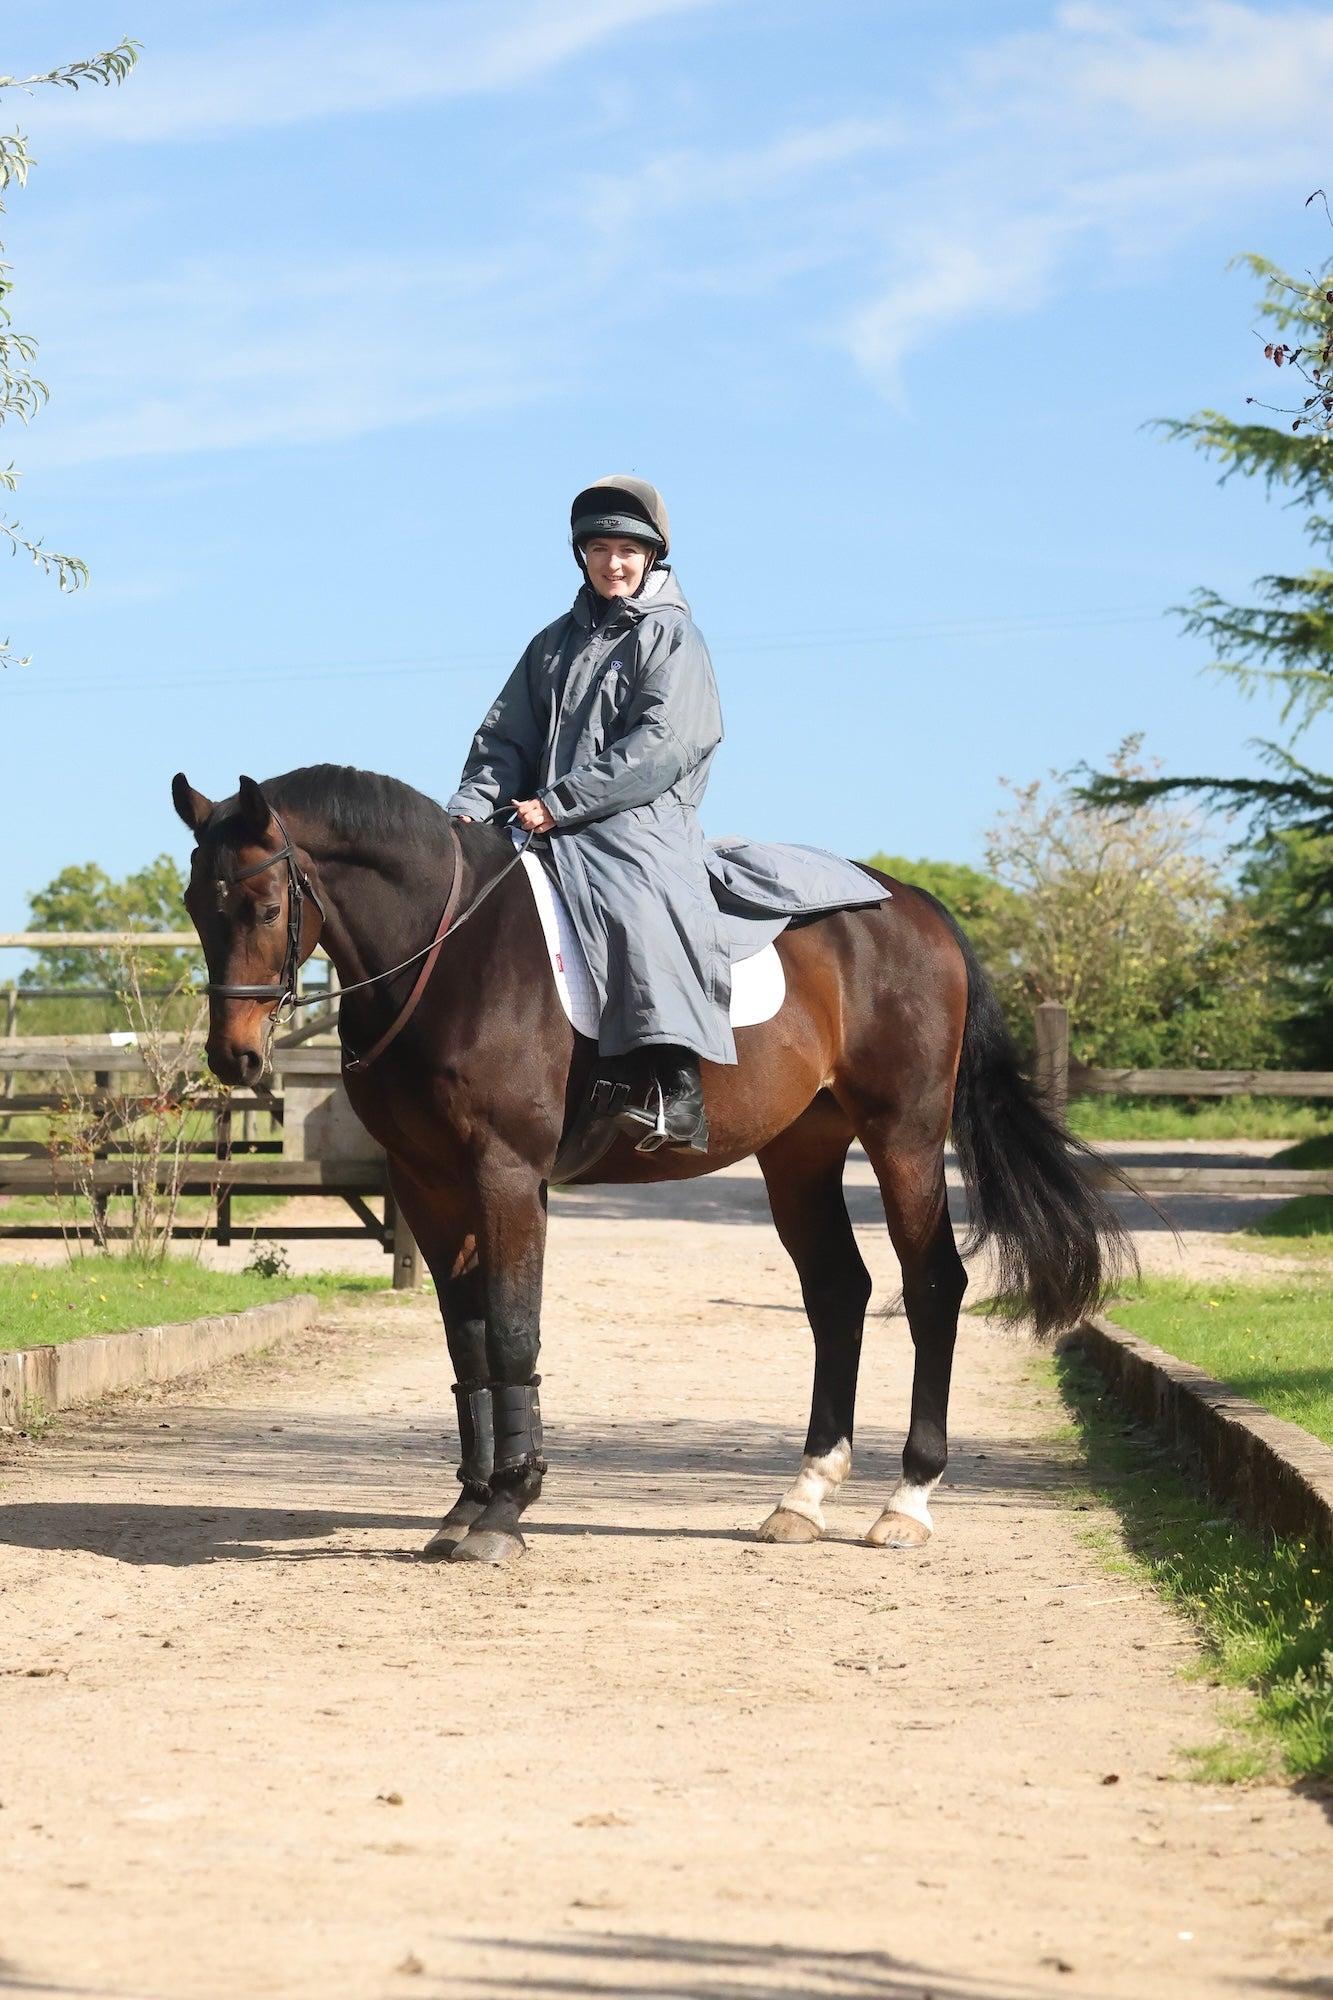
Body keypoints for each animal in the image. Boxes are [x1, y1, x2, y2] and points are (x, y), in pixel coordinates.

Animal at [171, 764, 1128, 1560]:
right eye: (192, 904)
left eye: (264, 907)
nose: (234, 1059)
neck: (448, 957)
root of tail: (911, 903)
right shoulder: (429, 1184)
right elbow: (468, 1343)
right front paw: (466, 1505)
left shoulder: (505, 1174)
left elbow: (513, 1332)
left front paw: (506, 1510)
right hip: (801, 1153)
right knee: (837, 1294)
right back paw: (803, 1497)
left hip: (904, 1138)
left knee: (930, 1287)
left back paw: (906, 1503)